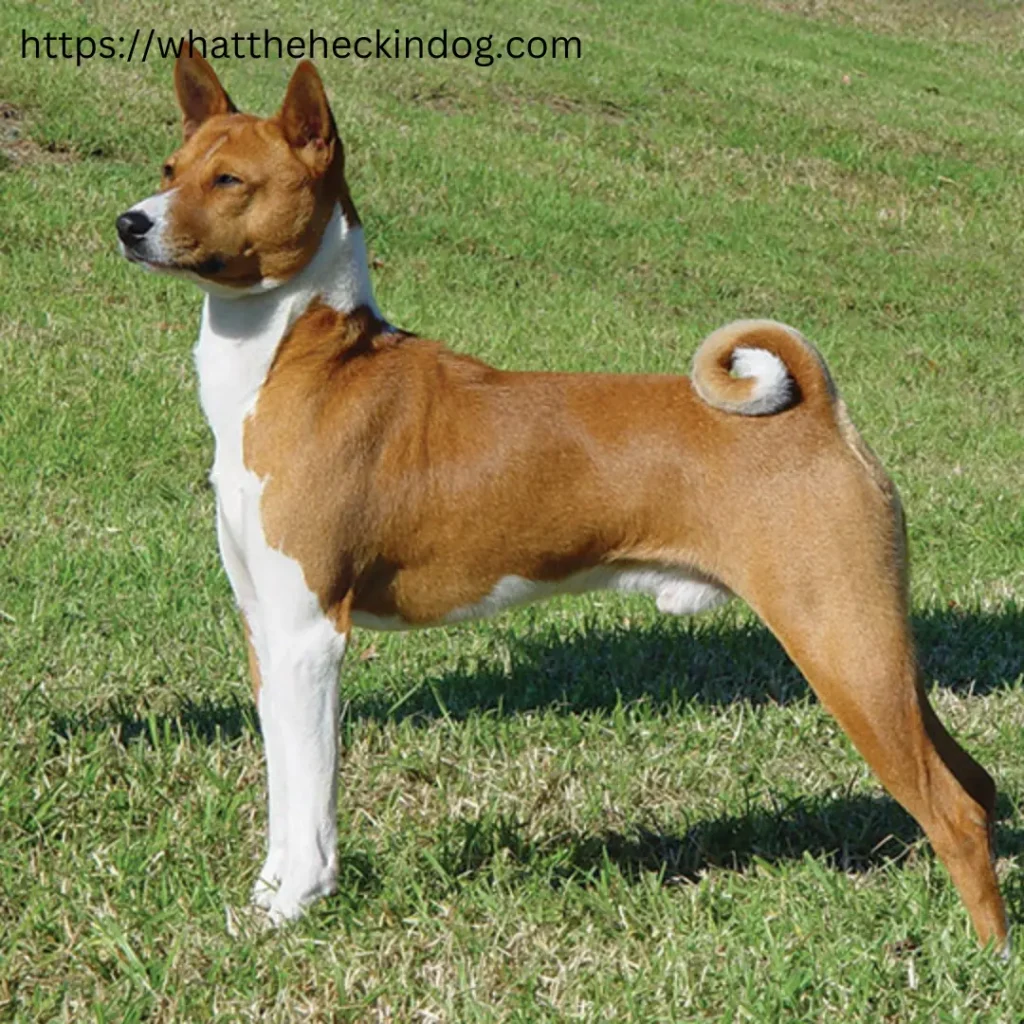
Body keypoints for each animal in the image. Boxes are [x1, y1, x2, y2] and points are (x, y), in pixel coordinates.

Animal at [116, 44, 1011, 946]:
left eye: (231, 180)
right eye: (170, 169)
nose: (130, 222)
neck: (297, 363)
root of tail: (819, 409)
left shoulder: (309, 634)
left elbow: (311, 798)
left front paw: (296, 905)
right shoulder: (265, 627)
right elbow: (283, 787)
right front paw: (266, 899)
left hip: (841, 642)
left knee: (955, 810)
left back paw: (987, 959)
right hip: (876, 649)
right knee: (977, 786)